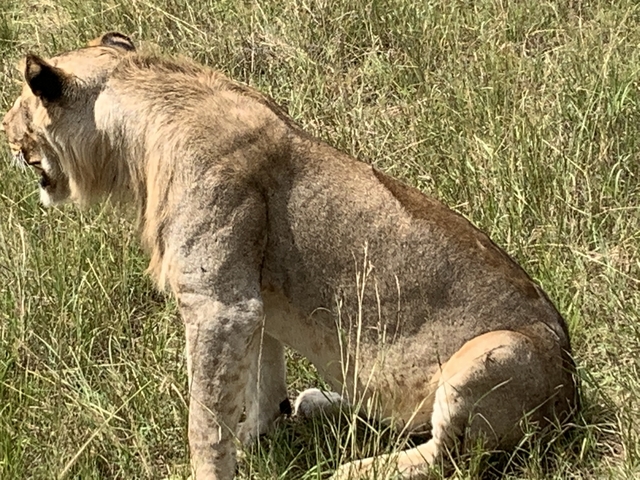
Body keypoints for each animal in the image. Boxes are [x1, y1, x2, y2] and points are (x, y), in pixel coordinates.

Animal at [1, 33, 577, 480]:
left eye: (19, 112)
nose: (6, 135)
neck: (134, 142)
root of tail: (570, 397)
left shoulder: (219, 305)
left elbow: (204, 419)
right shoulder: (255, 302)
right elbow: (261, 380)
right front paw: (259, 438)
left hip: (496, 352)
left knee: (445, 456)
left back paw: (354, 469)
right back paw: (324, 402)